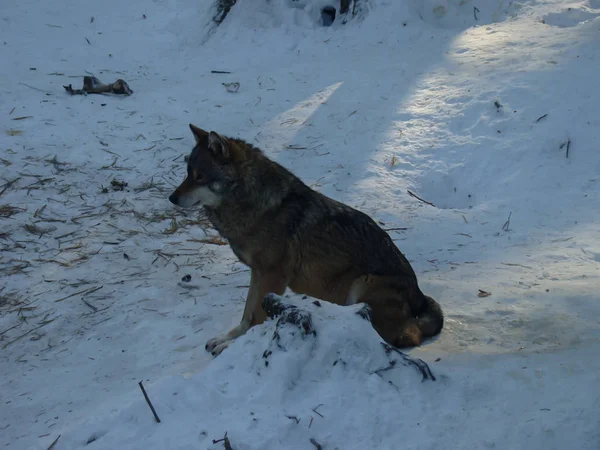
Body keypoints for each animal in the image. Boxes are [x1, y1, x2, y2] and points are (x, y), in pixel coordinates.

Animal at [171, 125, 442, 356]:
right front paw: (228, 338)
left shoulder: (272, 276)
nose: (172, 198)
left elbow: (257, 316)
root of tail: (420, 296)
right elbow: (247, 314)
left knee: (404, 335)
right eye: (188, 174)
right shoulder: (258, 273)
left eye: (200, 176)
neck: (255, 204)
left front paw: (233, 346)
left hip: (363, 284)